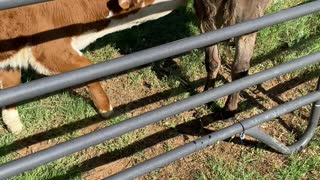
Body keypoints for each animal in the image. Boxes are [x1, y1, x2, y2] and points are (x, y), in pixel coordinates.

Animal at [0, 0, 185, 134]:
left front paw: (14, 125)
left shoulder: (10, 59)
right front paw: (105, 109)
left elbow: (11, 85)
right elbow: (88, 69)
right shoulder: (50, 51)